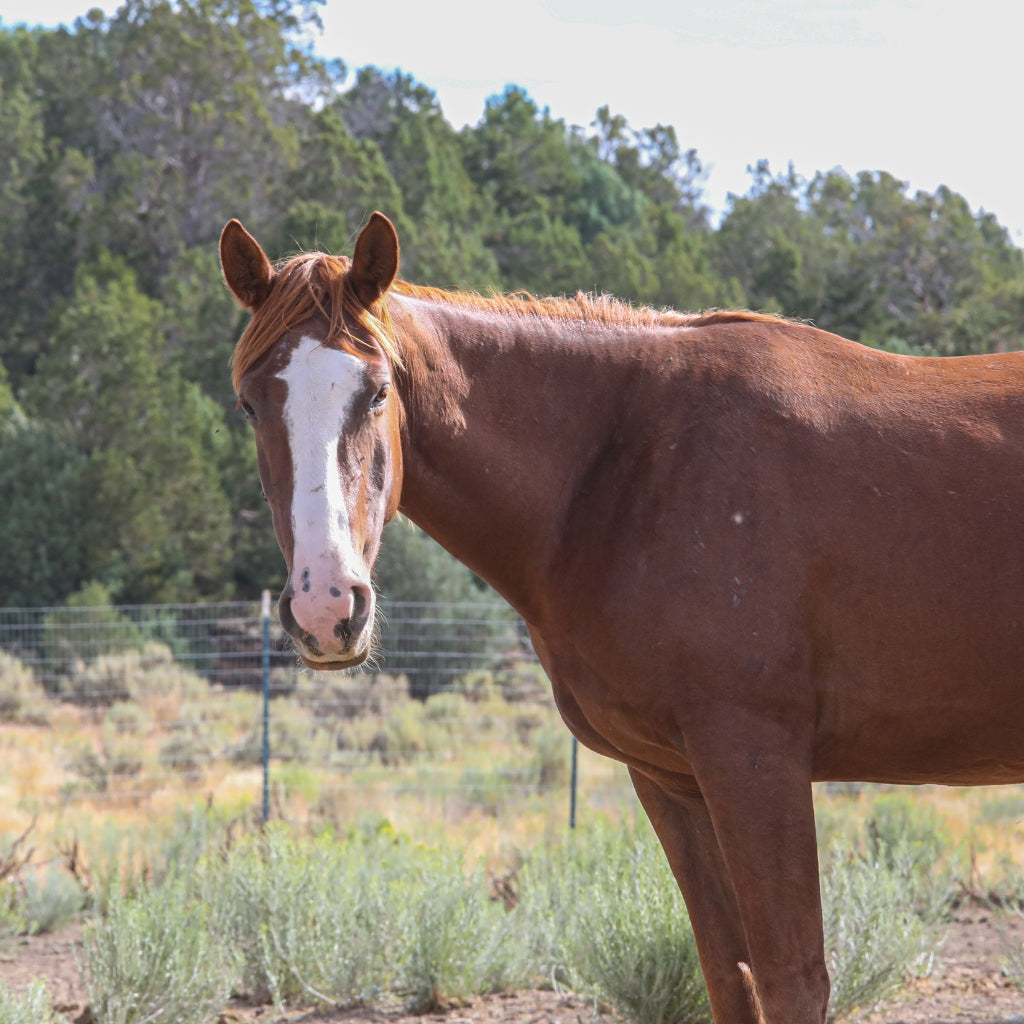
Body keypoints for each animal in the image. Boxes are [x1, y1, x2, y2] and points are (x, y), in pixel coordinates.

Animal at [220, 209, 1024, 1024]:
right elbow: (730, 972)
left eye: (378, 392)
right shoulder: (673, 781)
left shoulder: (757, 762)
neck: (627, 468)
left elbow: (791, 976)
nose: (325, 605)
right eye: (250, 404)